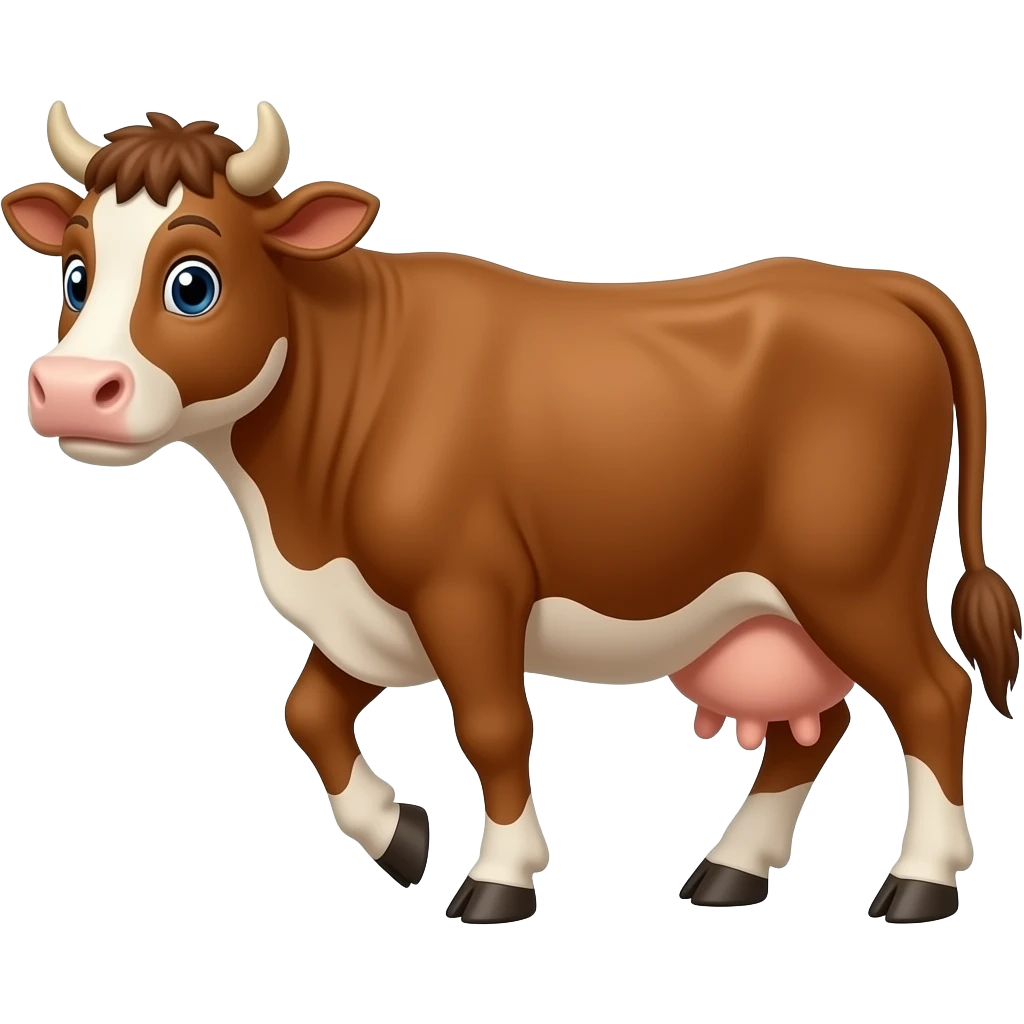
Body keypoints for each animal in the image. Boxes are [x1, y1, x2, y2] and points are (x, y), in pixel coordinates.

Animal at [4, 101, 1021, 927]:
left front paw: (498, 879)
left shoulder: (467, 586)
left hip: (851, 577)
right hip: (777, 602)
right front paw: (397, 836)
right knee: (820, 724)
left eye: (193, 282)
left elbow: (494, 729)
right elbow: (308, 712)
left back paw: (921, 882)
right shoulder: (368, 608)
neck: (296, 510)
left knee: (933, 696)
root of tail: (878, 284)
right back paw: (731, 870)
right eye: (74, 277)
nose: (70, 390)